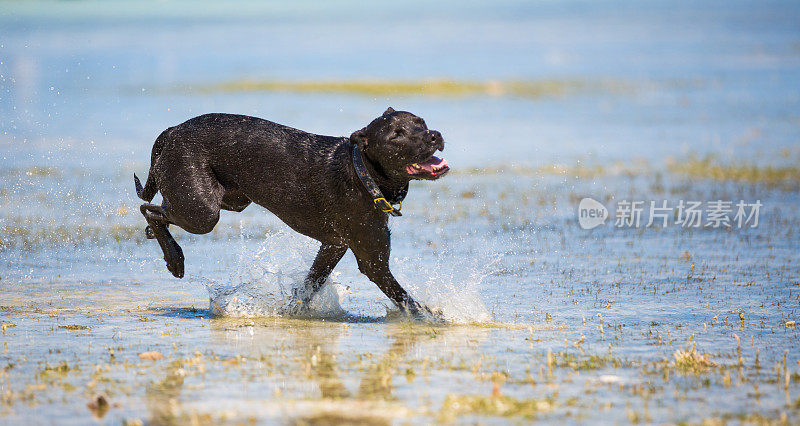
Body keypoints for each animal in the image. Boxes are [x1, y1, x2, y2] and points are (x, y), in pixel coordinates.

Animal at [136, 108, 450, 318]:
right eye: (396, 136)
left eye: (421, 123)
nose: (434, 136)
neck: (362, 172)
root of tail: (171, 130)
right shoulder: (372, 261)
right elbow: (405, 298)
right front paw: (434, 319)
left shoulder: (334, 245)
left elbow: (309, 286)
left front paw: (292, 311)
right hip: (203, 211)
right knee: (148, 209)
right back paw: (174, 259)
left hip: (226, 199)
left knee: (160, 208)